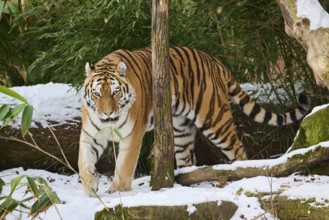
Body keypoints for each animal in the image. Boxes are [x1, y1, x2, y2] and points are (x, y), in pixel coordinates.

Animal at [78, 46, 308, 196]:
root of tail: (215, 61)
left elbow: (125, 164)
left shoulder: (133, 134)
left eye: (115, 92)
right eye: (97, 94)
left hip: (215, 120)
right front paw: (90, 186)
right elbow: (83, 161)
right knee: (188, 159)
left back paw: (241, 174)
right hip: (181, 129)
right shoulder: (91, 134)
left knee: (238, 149)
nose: (107, 114)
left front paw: (119, 190)